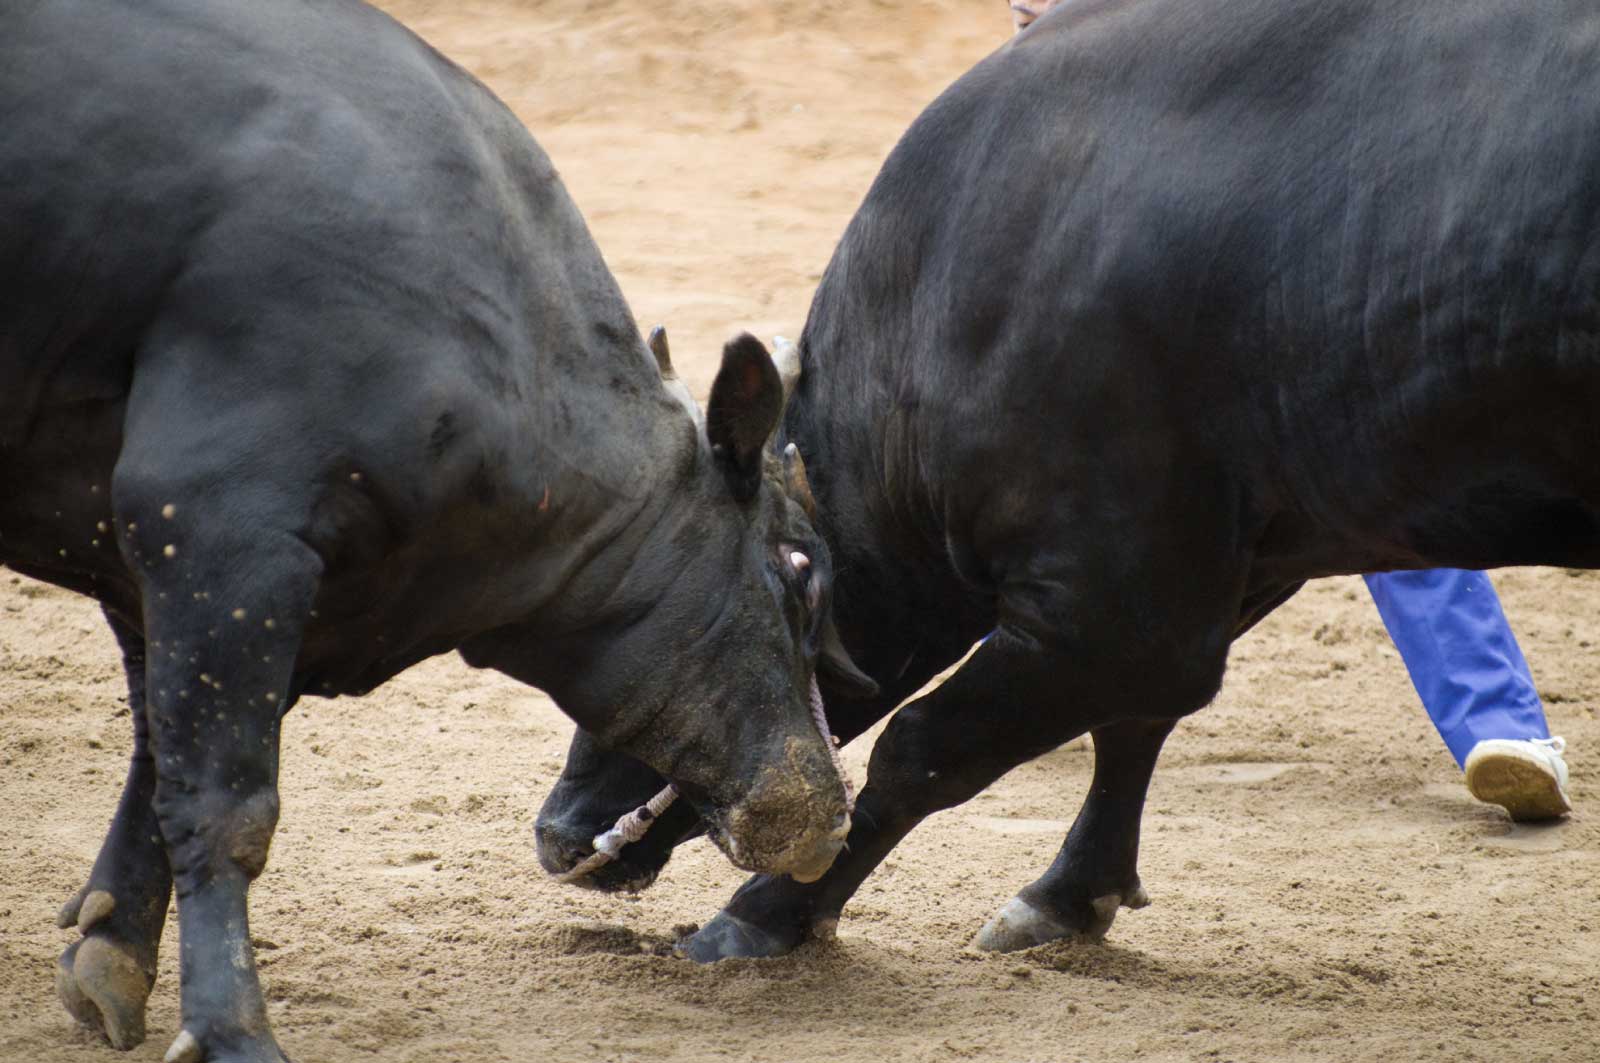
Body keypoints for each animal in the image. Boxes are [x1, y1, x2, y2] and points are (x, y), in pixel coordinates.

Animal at [0, 4, 876, 1056]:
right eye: (801, 566)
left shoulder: (169, 571)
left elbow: (155, 770)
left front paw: (112, 953)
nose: (826, 809)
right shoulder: (217, 526)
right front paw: (230, 1025)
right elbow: (221, 804)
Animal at [540, 0, 1600, 960]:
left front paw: (766, 913)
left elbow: (923, 747)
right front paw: (1068, 893)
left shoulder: (1118, 607)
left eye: (668, 596)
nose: (555, 828)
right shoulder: (1214, 576)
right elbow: (1131, 729)